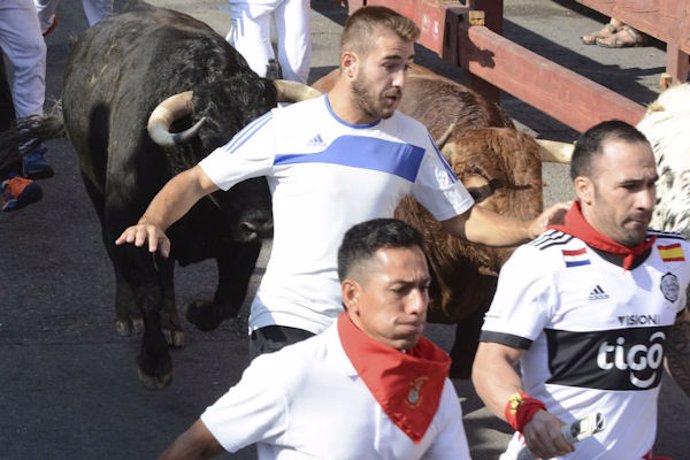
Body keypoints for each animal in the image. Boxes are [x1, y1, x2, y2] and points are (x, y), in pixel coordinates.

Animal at [6, 0, 280, 388]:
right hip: (93, 187)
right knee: (119, 260)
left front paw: (194, 312)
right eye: (214, 143)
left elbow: (228, 298)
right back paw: (127, 316)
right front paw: (154, 362)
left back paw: (172, 321)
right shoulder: (127, 223)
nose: (263, 224)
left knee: (166, 269)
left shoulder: (239, 239)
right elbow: (145, 290)